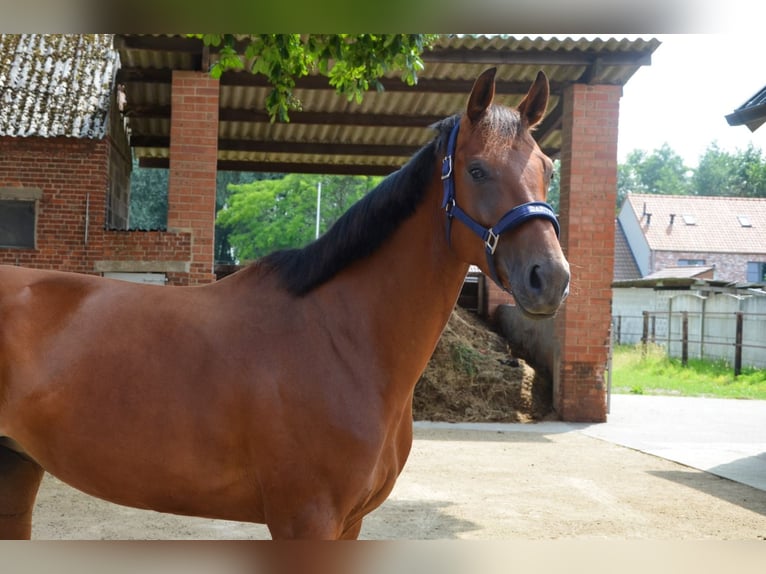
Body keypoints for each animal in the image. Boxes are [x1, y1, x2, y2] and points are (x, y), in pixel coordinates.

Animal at [0, 70, 568, 544]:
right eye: (477, 170)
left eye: (546, 168)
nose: (551, 278)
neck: (342, 339)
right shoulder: (306, 520)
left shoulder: (350, 524)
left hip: (18, 471)